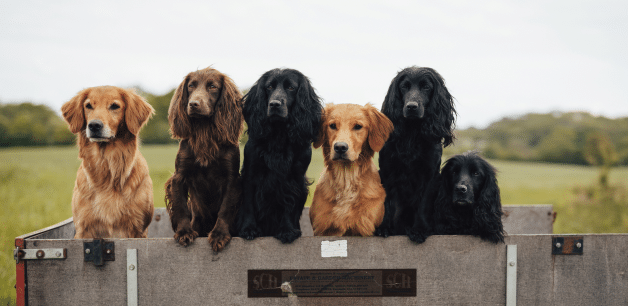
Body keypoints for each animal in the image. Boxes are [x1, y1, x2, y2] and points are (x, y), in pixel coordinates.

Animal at [237, 68, 324, 243]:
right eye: (269, 87)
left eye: (291, 88)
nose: (274, 104)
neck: (279, 134)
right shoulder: (250, 173)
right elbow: (249, 203)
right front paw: (248, 229)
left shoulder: (294, 178)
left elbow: (289, 203)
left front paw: (287, 230)